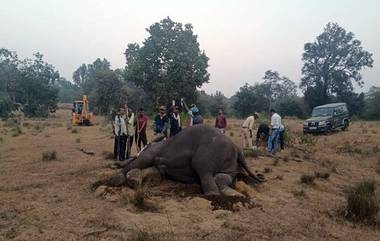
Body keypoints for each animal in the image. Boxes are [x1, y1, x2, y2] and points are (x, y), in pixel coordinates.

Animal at [116, 124, 264, 196]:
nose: (115, 163)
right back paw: (236, 195)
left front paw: (117, 178)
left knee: (203, 168)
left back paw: (212, 195)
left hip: (209, 151)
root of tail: (237, 148)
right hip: (229, 162)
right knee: (222, 177)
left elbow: (143, 160)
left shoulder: (152, 152)